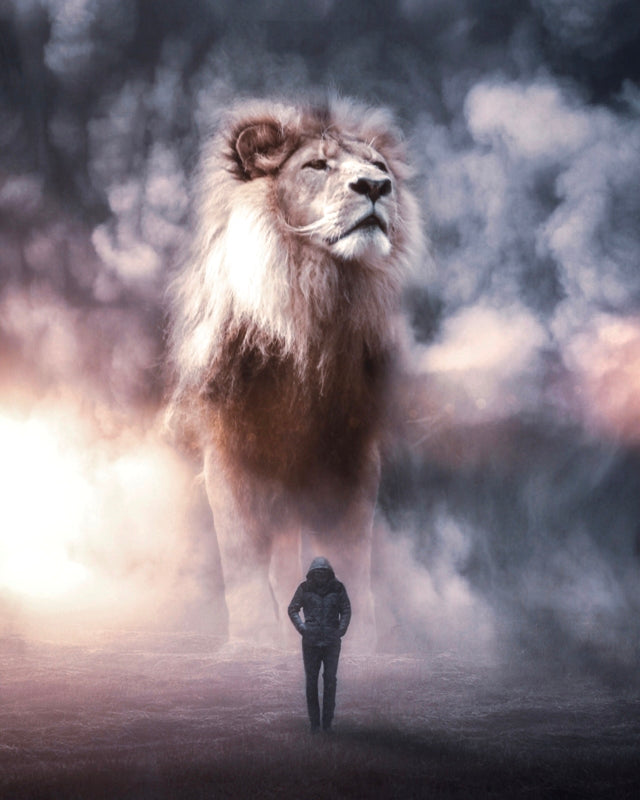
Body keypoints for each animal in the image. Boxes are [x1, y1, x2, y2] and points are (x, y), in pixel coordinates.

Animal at [167, 97, 422, 645]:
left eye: (381, 167)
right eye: (317, 166)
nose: (376, 187)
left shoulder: (352, 454)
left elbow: (352, 549)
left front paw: (363, 640)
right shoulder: (228, 448)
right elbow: (241, 554)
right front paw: (251, 642)